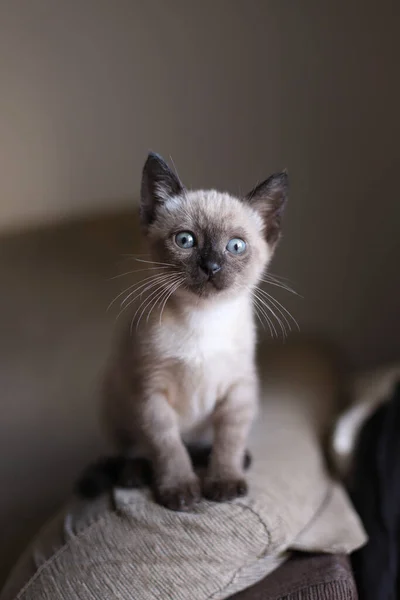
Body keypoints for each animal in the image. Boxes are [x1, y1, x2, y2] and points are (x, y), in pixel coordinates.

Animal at [101, 154, 288, 510]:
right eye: (185, 240)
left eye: (236, 246)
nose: (210, 266)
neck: (202, 319)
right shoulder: (150, 396)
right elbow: (169, 448)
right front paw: (180, 491)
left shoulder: (239, 391)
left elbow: (228, 441)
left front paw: (223, 483)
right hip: (115, 401)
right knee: (134, 450)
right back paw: (133, 475)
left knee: (205, 446)